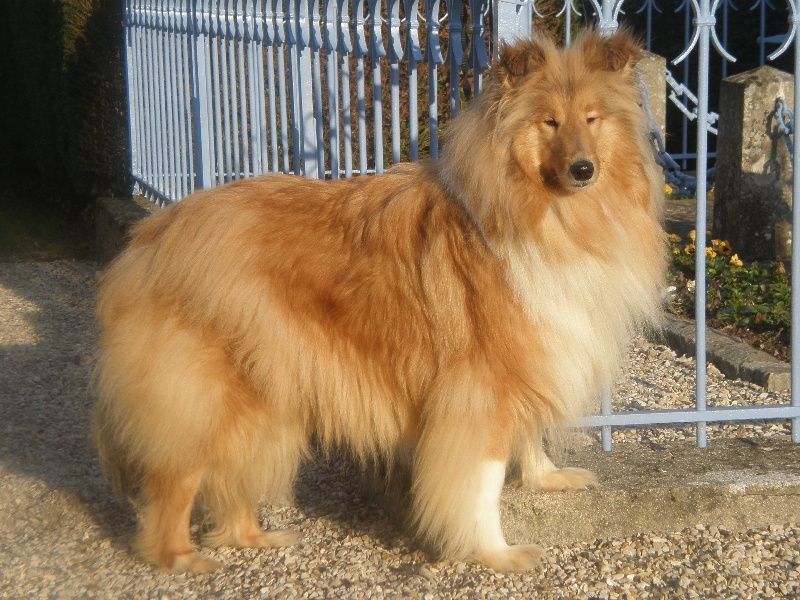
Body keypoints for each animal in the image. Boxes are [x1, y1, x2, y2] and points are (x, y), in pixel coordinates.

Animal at [93, 28, 665, 573]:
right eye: (549, 122)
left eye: (592, 118)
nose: (583, 170)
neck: (544, 214)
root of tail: (152, 235)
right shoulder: (481, 386)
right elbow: (481, 483)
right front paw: (496, 553)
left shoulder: (529, 359)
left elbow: (528, 436)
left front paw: (548, 478)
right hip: (211, 395)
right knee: (179, 478)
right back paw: (181, 558)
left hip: (269, 387)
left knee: (232, 472)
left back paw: (255, 537)